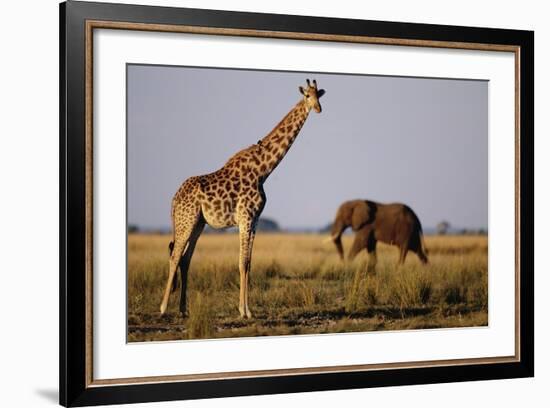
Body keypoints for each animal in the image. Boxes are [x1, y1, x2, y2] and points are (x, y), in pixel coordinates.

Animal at [160, 78, 326, 318]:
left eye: (318, 95)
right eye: (306, 95)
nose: (318, 108)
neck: (263, 170)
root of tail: (174, 199)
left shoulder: (255, 220)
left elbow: (248, 262)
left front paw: (248, 310)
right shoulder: (245, 217)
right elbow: (241, 263)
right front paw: (243, 311)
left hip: (198, 223)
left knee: (185, 259)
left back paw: (183, 310)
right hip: (186, 220)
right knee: (175, 256)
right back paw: (164, 308)